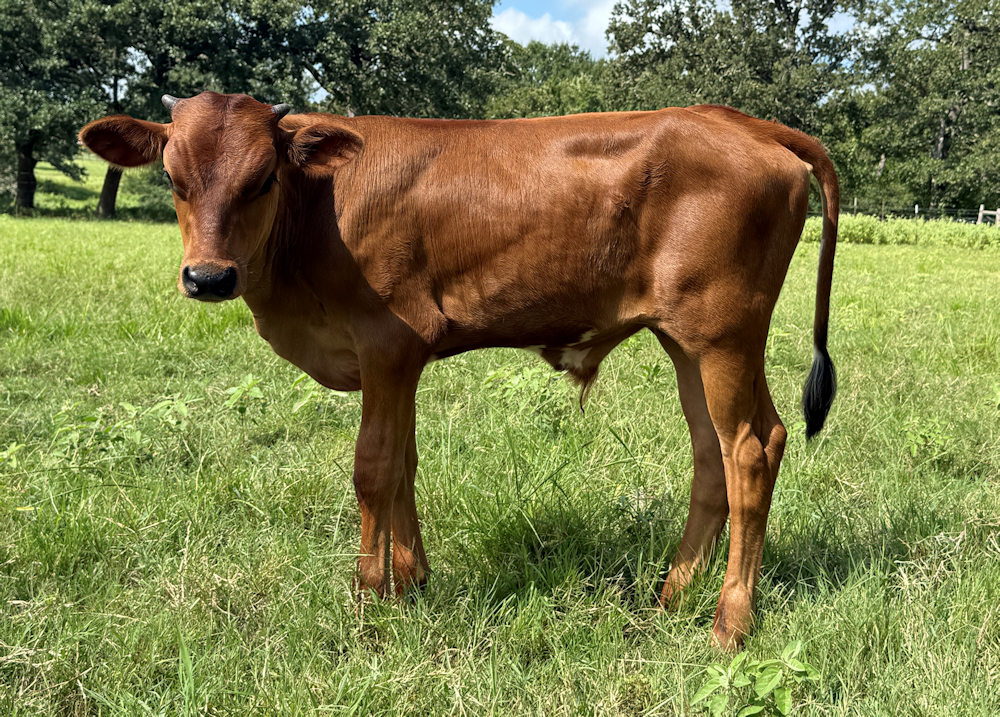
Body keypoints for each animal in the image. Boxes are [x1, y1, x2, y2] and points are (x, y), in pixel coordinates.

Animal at [79, 92, 838, 649]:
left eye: (262, 178)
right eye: (173, 179)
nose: (208, 277)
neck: (318, 211)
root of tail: (742, 122)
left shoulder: (386, 342)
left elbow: (374, 468)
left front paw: (368, 603)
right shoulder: (400, 360)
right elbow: (404, 464)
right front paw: (412, 584)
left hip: (724, 335)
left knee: (750, 450)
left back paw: (729, 622)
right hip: (687, 340)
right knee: (716, 454)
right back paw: (670, 598)